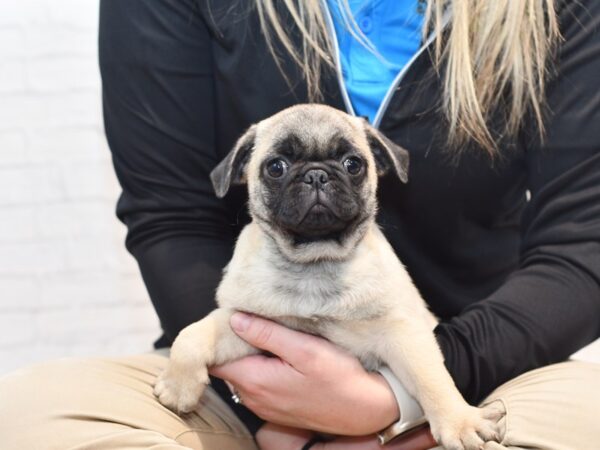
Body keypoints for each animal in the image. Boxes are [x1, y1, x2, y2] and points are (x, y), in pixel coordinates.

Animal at [154, 103, 502, 448]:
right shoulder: (241, 321)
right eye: (275, 167)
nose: (316, 174)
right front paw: (177, 386)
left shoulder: (402, 332)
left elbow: (431, 377)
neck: (314, 263)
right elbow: (193, 334)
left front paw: (460, 422)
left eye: (353, 164)